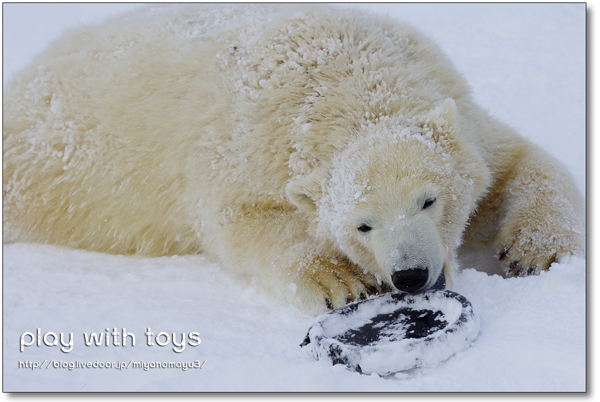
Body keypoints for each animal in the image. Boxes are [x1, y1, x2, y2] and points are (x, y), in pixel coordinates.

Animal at [4, 4, 584, 316]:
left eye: (429, 200)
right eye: (362, 225)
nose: (411, 275)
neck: (343, 72)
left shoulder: (454, 104)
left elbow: (517, 162)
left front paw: (536, 252)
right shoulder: (245, 151)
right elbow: (241, 225)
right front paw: (338, 282)